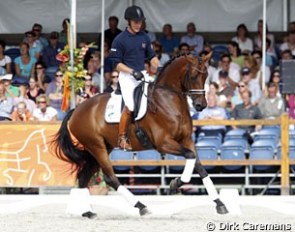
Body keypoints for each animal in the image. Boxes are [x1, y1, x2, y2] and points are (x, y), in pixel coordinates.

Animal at [52, 52, 229, 216]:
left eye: (206, 75)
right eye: (193, 76)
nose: (201, 105)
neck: (168, 100)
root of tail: (76, 110)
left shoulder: (186, 140)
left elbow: (200, 167)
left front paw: (220, 204)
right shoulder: (163, 143)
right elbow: (190, 157)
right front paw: (175, 184)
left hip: (101, 148)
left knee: (84, 177)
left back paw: (87, 212)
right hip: (96, 147)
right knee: (110, 178)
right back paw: (141, 206)